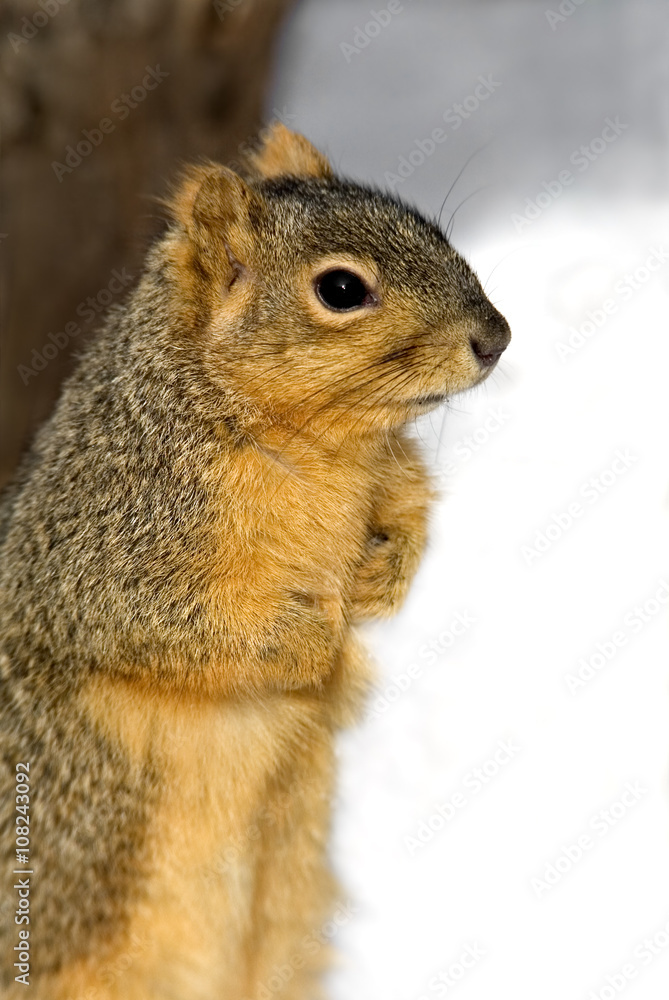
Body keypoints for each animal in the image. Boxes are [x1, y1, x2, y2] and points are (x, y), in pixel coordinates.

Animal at [0, 124, 510, 1000]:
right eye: (340, 289)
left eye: (429, 227)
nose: (496, 339)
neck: (318, 448)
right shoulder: (99, 552)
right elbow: (165, 629)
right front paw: (313, 642)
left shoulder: (386, 470)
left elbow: (410, 511)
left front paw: (382, 575)